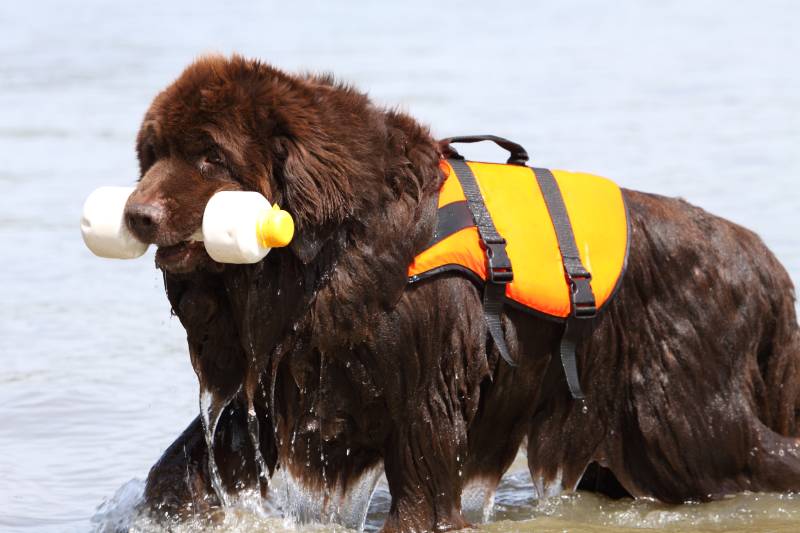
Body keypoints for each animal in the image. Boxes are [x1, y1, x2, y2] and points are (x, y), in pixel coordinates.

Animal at [123, 56, 800, 528]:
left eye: (211, 157)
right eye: (151, 154)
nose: (136, 214)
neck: (331, 246)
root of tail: (764, 263)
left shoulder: (421, 383)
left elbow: (423, 486)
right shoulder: (289, 371)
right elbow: (190, 460)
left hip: (686, 421)